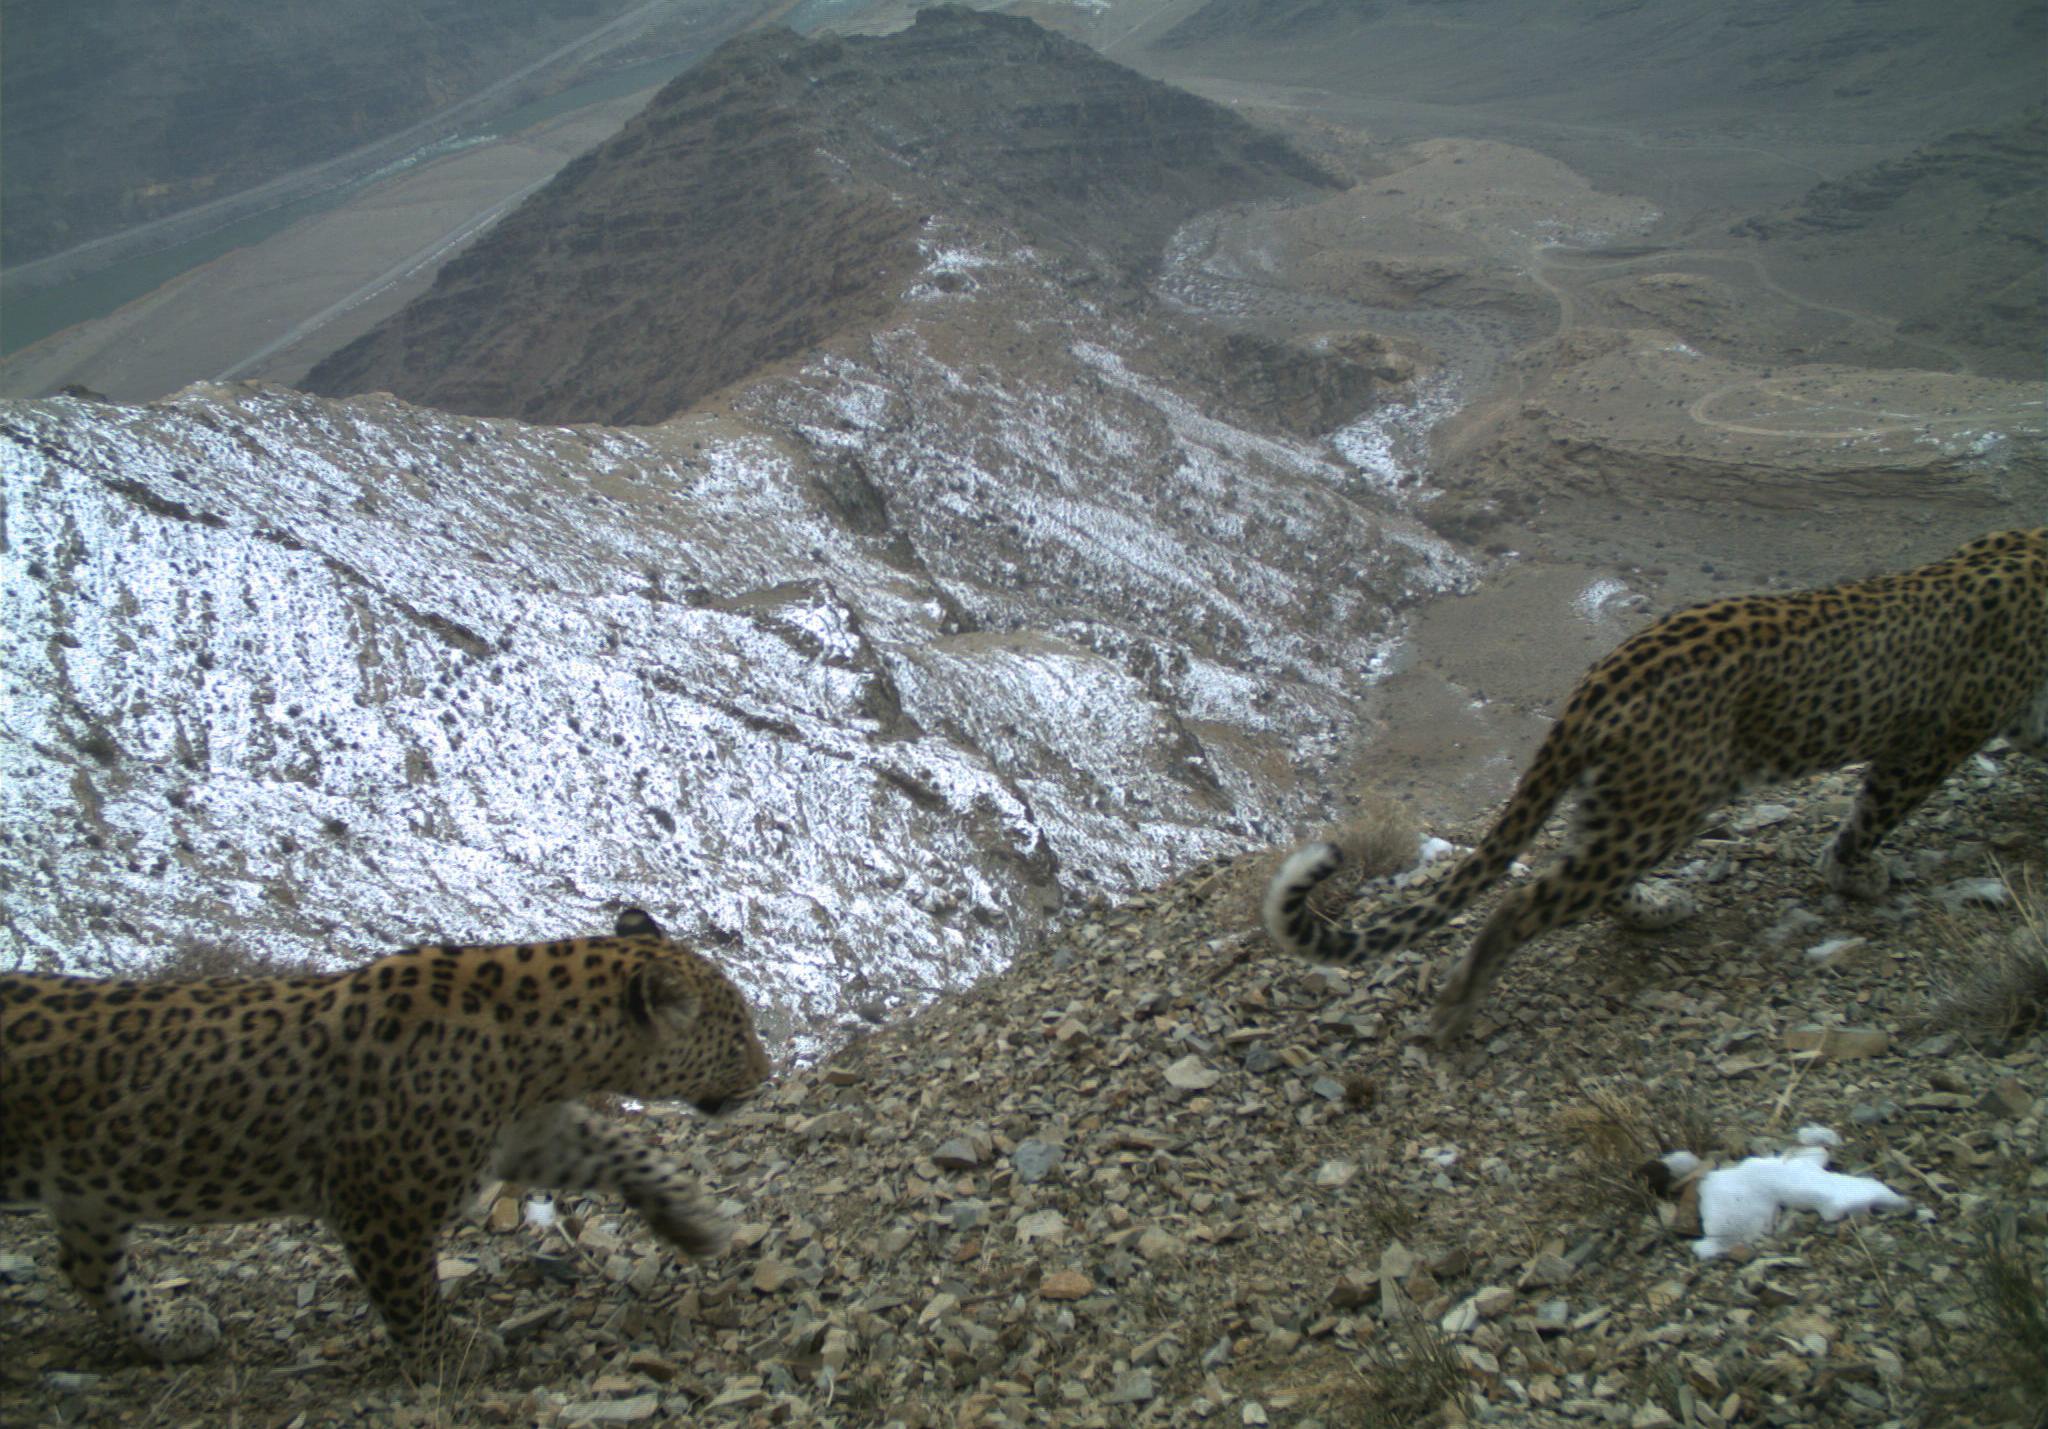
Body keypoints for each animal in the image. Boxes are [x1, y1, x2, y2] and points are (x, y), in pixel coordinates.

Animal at [0, 907, 772, 1376]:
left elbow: (619, 1148)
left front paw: (691, 1221)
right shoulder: (382, 1206)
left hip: (92, 1185)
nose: (765, 1076)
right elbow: (411, 1294)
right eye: (737, 1035)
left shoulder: (525, 1132)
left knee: (86, 1266)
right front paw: (450, 1354)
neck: (539, 1051)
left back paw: (169, 1328)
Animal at [1265, 527, 2048, 1047]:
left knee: (1585, 879)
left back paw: (1657, 907)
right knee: (1524, 901)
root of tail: (1597, 681)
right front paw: (1855, 873)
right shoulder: (1935, 739)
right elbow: (1873, 813)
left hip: (1623, 801)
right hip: (1663, 808)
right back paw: (1461, 1002)